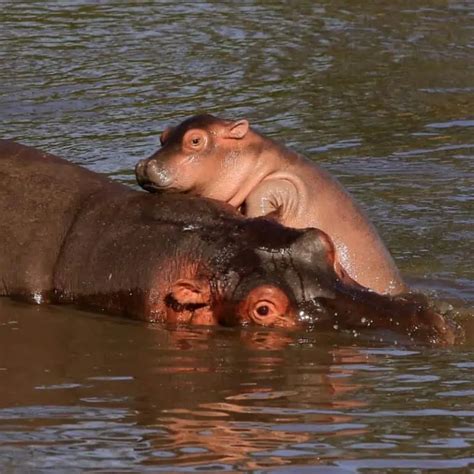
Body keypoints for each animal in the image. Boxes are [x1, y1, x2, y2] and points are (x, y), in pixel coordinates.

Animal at [136, 115, 408, 296]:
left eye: (195, 140)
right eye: (163, 136)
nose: (145, 165)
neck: (255, 160)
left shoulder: (286, 185)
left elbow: (263, 195)